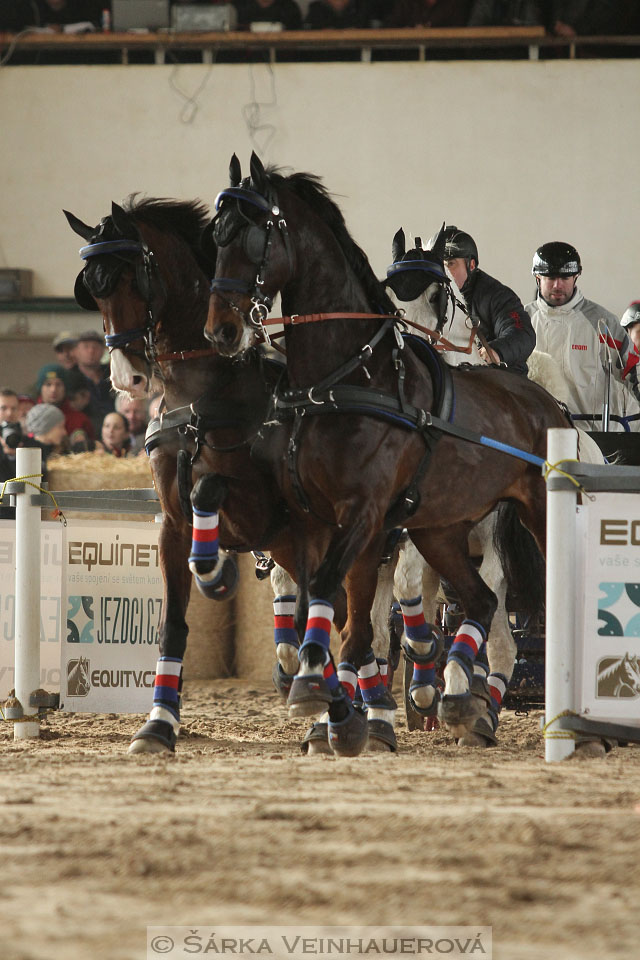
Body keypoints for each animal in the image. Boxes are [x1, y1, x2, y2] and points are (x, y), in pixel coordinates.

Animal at [204, 154, 568, 748]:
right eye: (217, 235)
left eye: (256, 236)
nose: (223, 329)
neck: (347, 379)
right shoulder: (326, 524)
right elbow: (337, 612)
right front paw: (337, 702)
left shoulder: (379, 517)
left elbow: (375, 597)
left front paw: (378, 687)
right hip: (440, 533)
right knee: (469, 611)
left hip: (503, 531)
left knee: (500, 623)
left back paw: (466, 699)